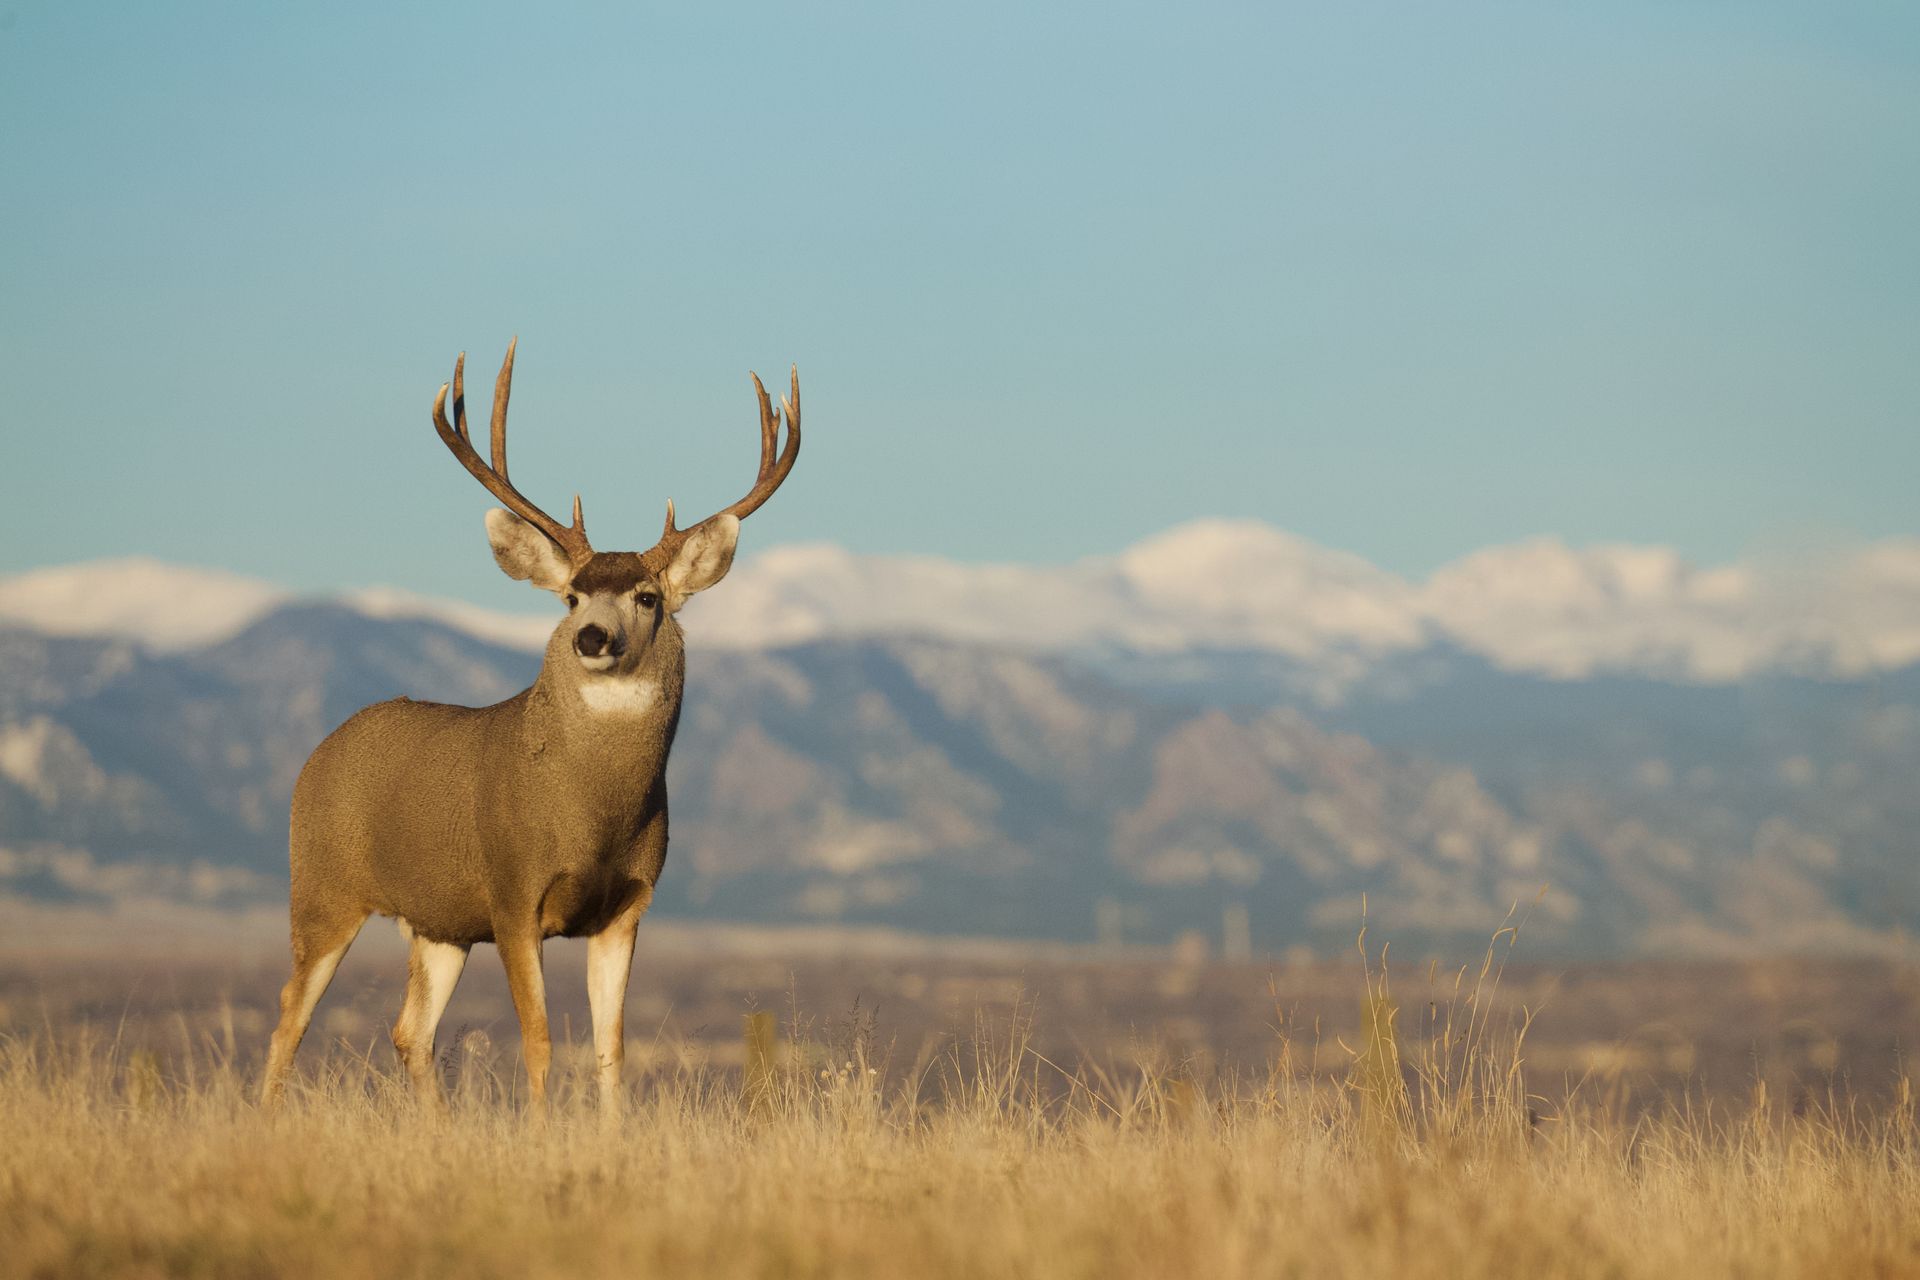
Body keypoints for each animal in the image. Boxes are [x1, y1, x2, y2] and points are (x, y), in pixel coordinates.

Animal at [259, 339, 800, 1110]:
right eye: (571, 595)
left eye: (647, 596)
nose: (593, 637)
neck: (592, 819)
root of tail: (318, 754)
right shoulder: (512, 892)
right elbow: (540, 1043)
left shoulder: (627, 907)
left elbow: (610, 1049)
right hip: (322, 887)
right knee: (288, 1018)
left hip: (439, 921)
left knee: (409, 1031)